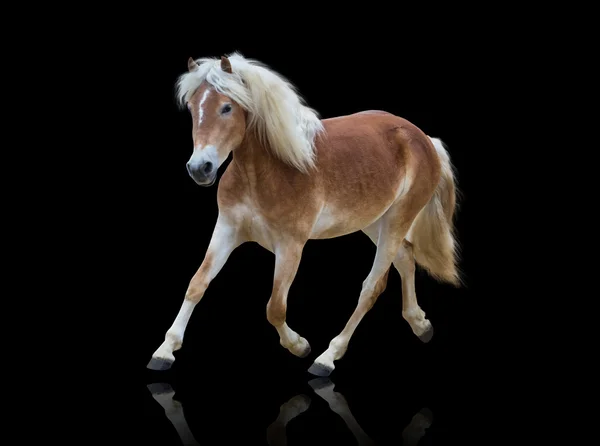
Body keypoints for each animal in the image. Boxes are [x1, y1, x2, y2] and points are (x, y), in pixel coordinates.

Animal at [146, 51, 464, 376]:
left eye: (226, 107)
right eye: (192, 108)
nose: (200, 168)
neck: (269, 171)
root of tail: (425, 140)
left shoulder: (290, 246)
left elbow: (275, 308)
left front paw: (299, 346)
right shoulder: (227, 229)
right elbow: (196, 284)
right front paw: (164, 351)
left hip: (397, 220)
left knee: (372, 286)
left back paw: (327, 357)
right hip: (375, 222)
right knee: (406, 258)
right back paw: (420, 324)